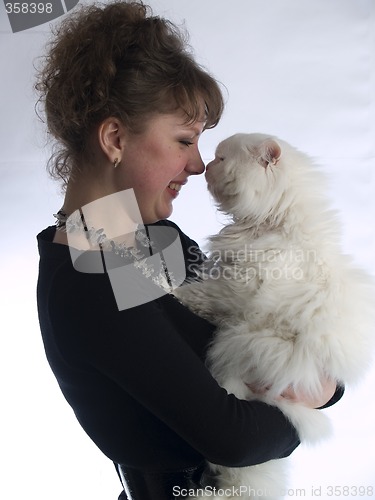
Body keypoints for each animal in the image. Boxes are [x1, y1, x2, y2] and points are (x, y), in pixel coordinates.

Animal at [174, 133, 375, 500]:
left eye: (221, 158)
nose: (205, 166)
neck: (274, 223)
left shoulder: (234, 291)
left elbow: (197, 294)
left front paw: (165, 288)